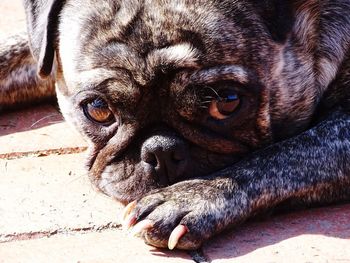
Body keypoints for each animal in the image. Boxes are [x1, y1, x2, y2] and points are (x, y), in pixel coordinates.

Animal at [0, 0, 350, 252]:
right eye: (98, 110)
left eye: (228, 102)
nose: (161, 150)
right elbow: (12, 51)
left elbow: (284, 155)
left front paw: (186, 200)